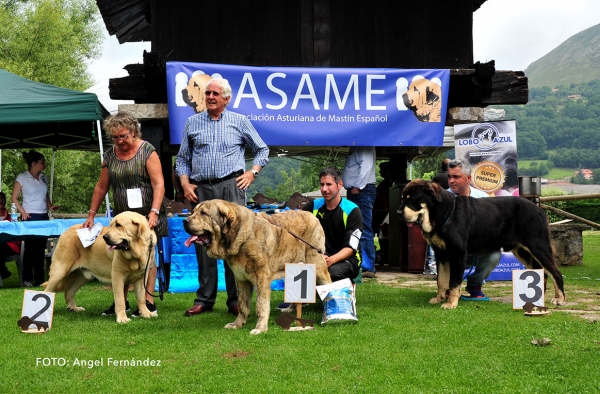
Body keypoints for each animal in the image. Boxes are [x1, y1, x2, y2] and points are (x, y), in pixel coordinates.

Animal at [396, 180, 564, 310]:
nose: (398, 213)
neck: (442, 213)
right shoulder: (441, 254)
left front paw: (451, 303)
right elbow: (441, 281)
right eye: (403, 198)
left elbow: (453, 282)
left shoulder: (457, 254)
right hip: (523, 251)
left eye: (411, 199)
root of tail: (539, 210)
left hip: (538, 246)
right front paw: (439, 299)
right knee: (541, 273)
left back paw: (559, 299)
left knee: (555, 273)